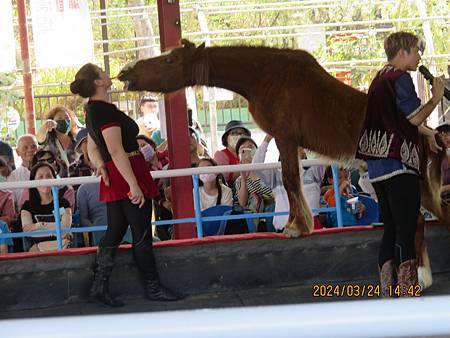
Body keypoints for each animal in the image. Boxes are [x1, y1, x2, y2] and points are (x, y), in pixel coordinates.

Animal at [118, 39, 448, 240]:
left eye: (171, 60)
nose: (126, 72)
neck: (263, 75)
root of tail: (426, 135)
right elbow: (289, 179)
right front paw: (295, 223)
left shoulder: (286, 138)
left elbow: (290, 179)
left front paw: (296, 227)